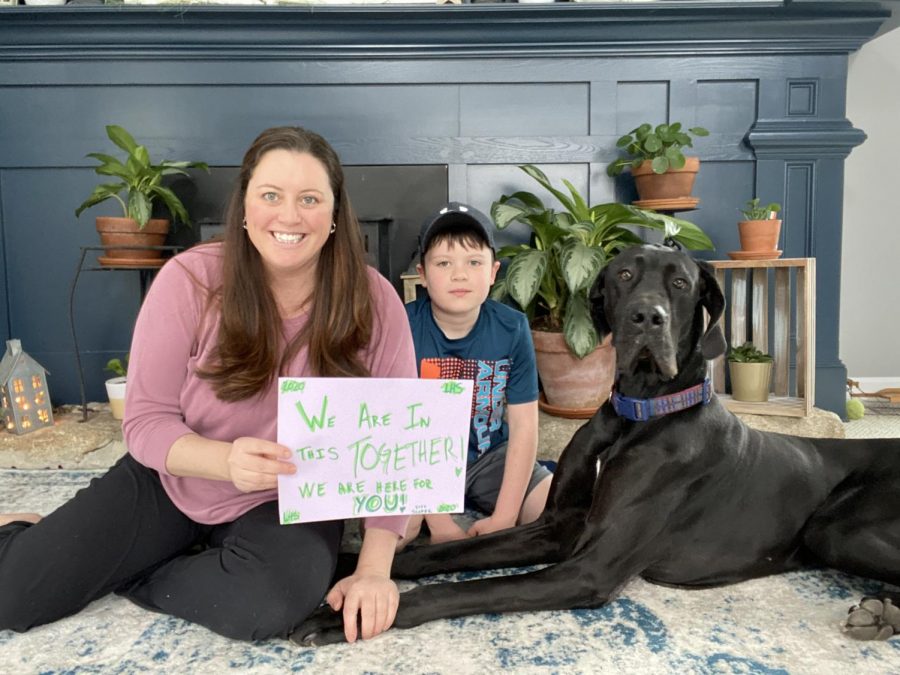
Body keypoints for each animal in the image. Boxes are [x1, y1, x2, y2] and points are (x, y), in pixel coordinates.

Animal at [298, 246, 900, 648]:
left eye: (681, 283)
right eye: (626, 274)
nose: (647, 317)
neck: (638, 414)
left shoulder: (590, 566)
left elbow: (459, 590)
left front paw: (342, 613)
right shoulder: (557, 527)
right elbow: (437, 554)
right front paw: (352, 566)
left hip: (835, 527)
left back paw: (880, 615)